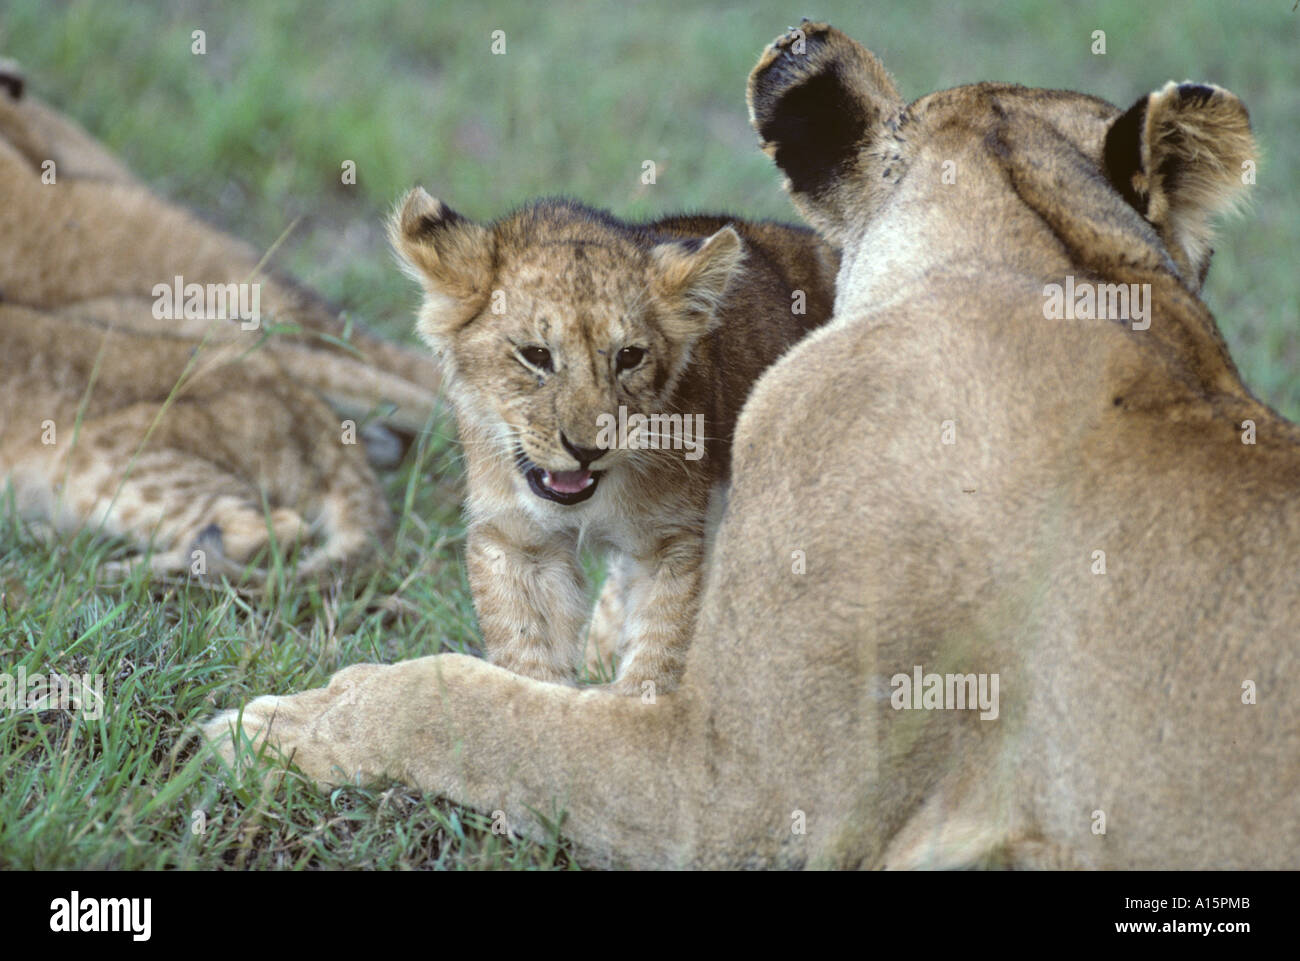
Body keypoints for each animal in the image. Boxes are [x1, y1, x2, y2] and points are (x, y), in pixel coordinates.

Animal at [390, 190, 837, 692]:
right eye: (535, 354)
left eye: (630, 356)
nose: (587, 450)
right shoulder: (517, 540)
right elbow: (529, 657)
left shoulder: (675, 539)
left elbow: (659, 652)